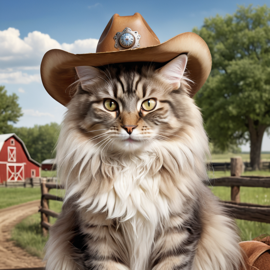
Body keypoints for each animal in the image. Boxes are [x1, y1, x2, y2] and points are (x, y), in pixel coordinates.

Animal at [44, 54, 245, 270]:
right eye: (110, 105)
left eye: (149, 104)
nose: (129, 127)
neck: (132, 165)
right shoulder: (97, 237)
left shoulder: (177, 231)